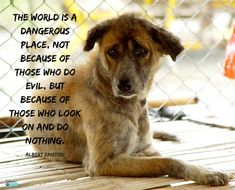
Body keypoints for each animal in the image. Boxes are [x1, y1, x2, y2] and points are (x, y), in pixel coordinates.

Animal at [24, 14, 232, 186]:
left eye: (141, 51)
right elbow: (167, 161)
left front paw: (202, 170)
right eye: (111, 52)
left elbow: (167, 157)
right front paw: (207, 172)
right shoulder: (102, 161)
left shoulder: (146, 150)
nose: (123, 85)